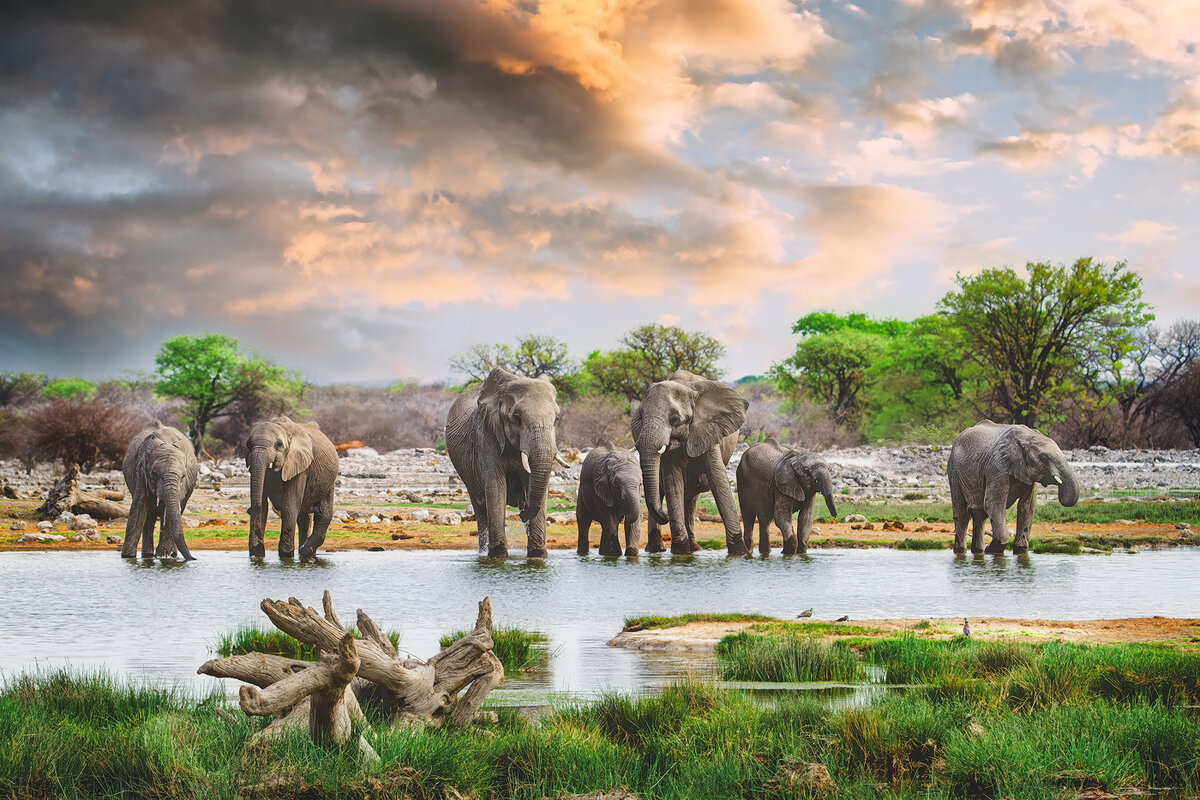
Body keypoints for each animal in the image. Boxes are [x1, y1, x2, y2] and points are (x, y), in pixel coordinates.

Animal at [121, 421, 198, 560]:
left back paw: (169, 555)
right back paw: (148, 555)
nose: (194, 558)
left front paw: (163, 555)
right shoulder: (141, 472)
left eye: (183, 476)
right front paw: (127, 557)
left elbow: (169, 511)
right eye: (154, 474)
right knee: (149, 516)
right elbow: (139, 507)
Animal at [246, 416, 339, 559]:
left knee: (323, 514)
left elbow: (289, 506)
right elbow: (263, 505)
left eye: (279, 444)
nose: (248, 510)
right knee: (304, 517)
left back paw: (305, 550)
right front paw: (258, 555)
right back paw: (304, 552)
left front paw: (285, 556)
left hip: (329, 480)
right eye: (248, 444)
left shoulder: (300, 467)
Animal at [446, 368, 562, 558]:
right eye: (516, 417)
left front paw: (538, 556)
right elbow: (496, 488)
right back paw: (483, 553)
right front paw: (498, 556)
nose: (524, 513)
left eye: (557, 419)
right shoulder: (487, 435)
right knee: (480, 507)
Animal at [631, 370, 749, 555]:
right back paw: (657, 551)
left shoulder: (708, 429)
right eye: (640, 417)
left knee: (690, 499)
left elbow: (719, 481)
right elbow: (673, 482)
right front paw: (680, 553)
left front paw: (741, 554)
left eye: (675, 419)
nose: (665, 515)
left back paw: (694, 549)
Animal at [947, 420, 1079, 555]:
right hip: (953, 470)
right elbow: (993, 503)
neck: (1028, 436)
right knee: (962, 513)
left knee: (980, 515)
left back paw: (978, 551)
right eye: (1043, 458)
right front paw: (991, 550)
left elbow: (1027, 507)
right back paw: (961, 551)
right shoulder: (996, 467)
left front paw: (1020, 551)